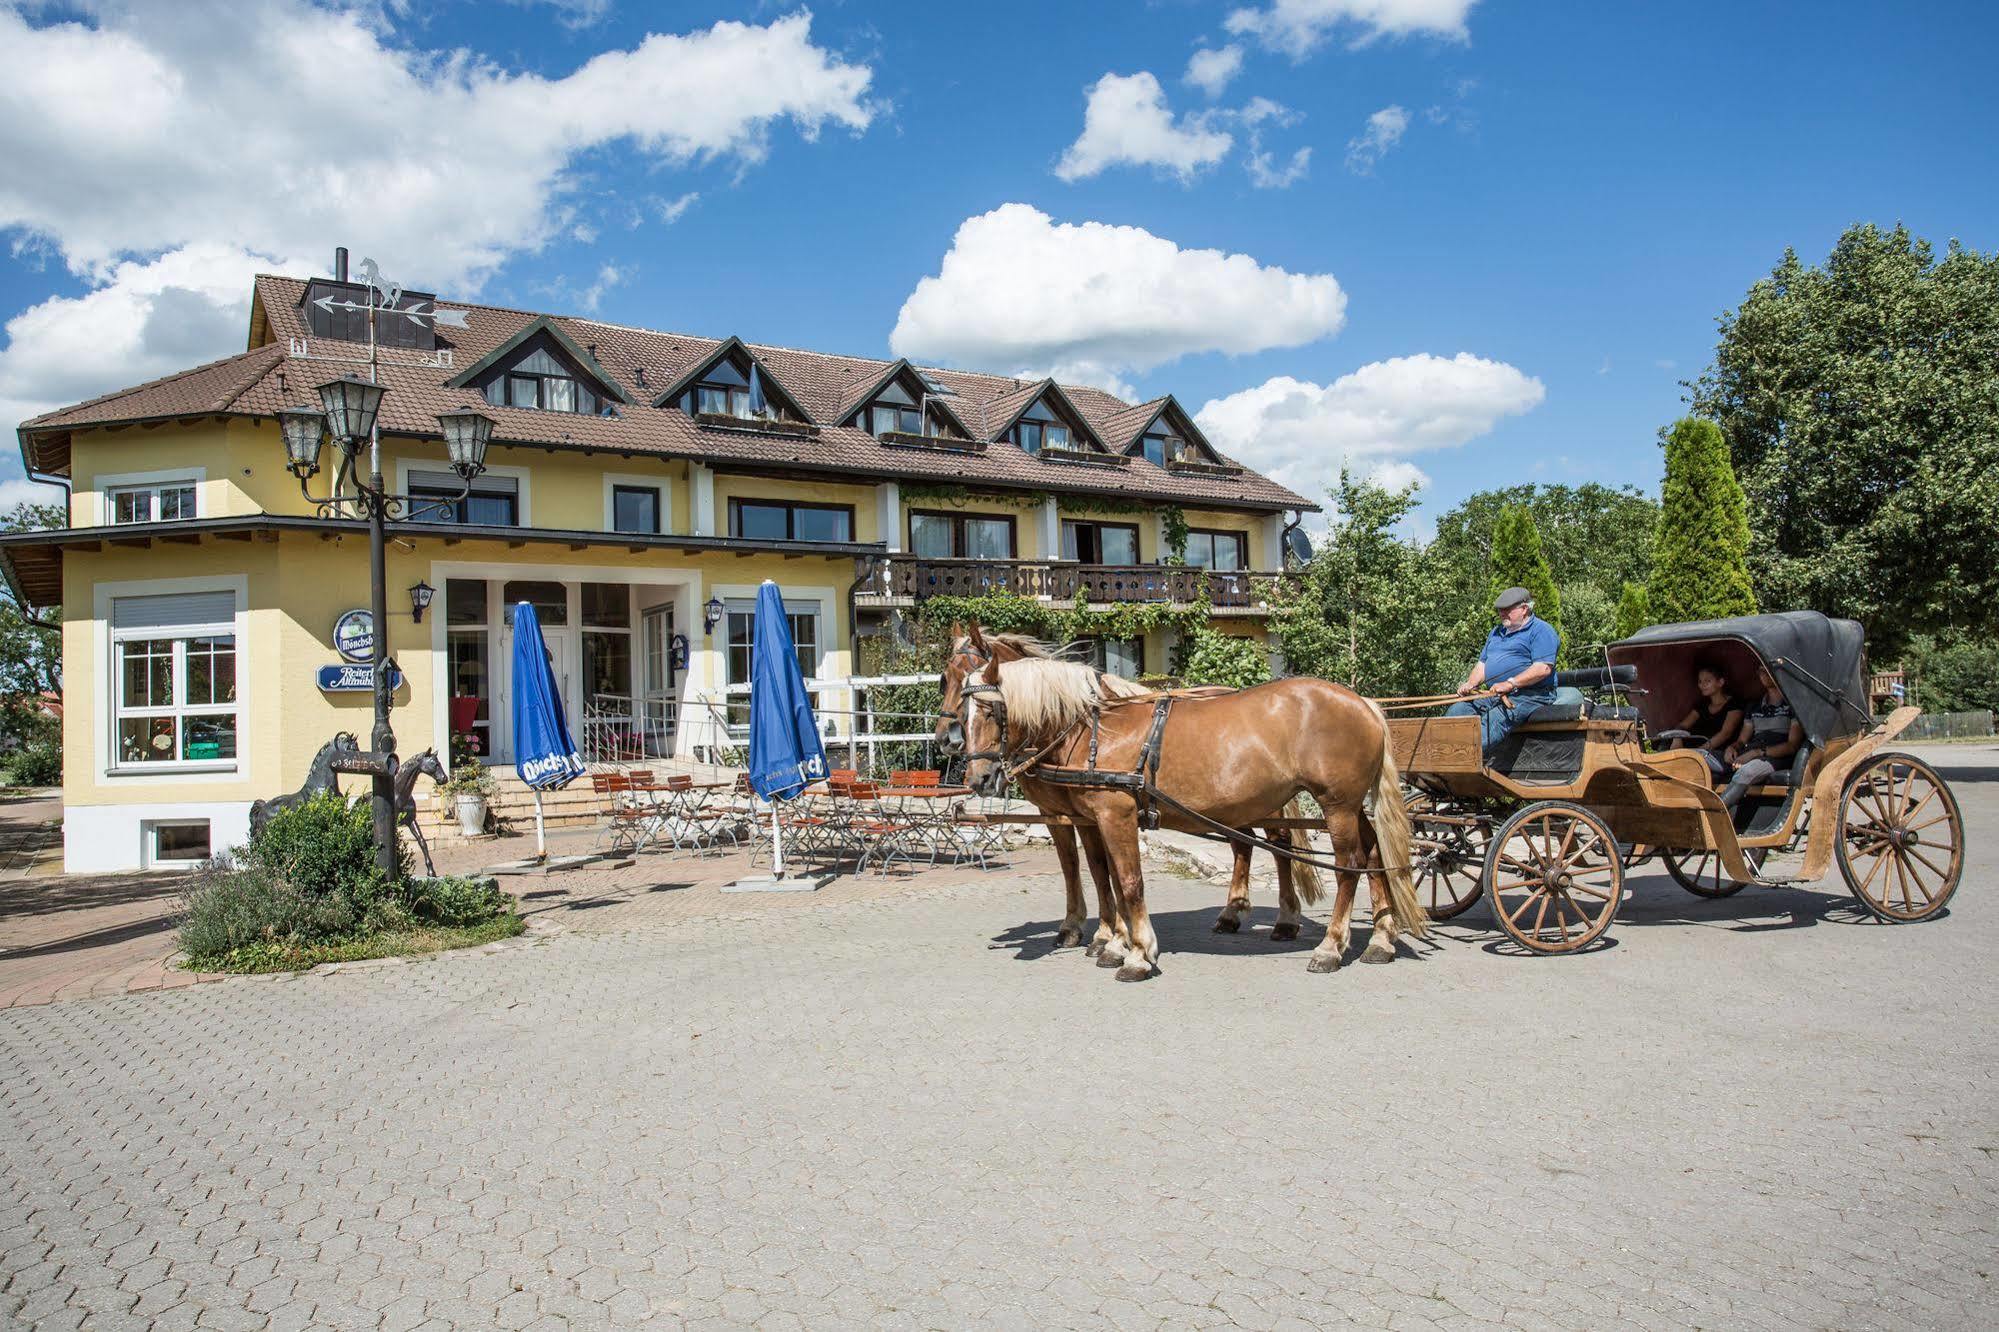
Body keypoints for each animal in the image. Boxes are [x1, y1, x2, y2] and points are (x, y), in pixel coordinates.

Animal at [935, 624, 1423, 976]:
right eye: (946, 681)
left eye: (993, 710)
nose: (974, 774)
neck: (1090, 729)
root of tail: (1363, 701)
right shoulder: (1089, 816)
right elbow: (1104, 877)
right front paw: (1115, 942)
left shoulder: (1110, 813)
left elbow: (1125, 881)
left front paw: (1133, 952)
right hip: (1346, 804)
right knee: (1370, 852)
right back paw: (1380, 938)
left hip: (1335, 803)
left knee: (1345, 864)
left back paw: (1329, 946)